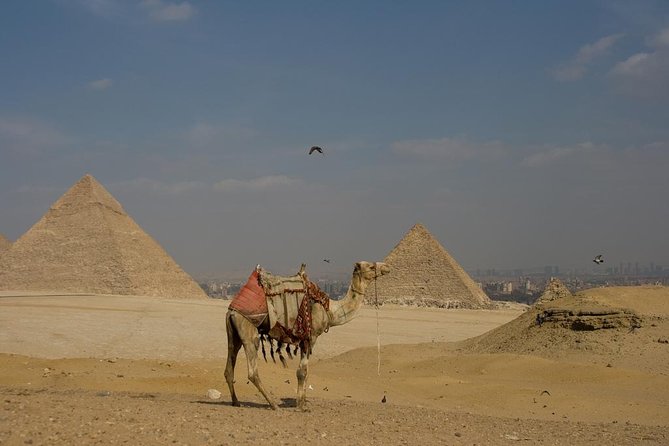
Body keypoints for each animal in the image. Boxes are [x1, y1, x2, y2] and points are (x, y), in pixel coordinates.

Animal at [224, 260, 390, 411]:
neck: (329, 310)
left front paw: (303, 403)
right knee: (252, 371)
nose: (386, 267)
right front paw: (300, 407)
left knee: (229, 366)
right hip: (248, 328)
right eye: (371, 266)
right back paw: (273, 405)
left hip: (233, 332)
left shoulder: (306, 340)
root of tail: (232, 310)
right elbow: (302, 372)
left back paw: (236, 402)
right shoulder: (310, 337)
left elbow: (307, 372)